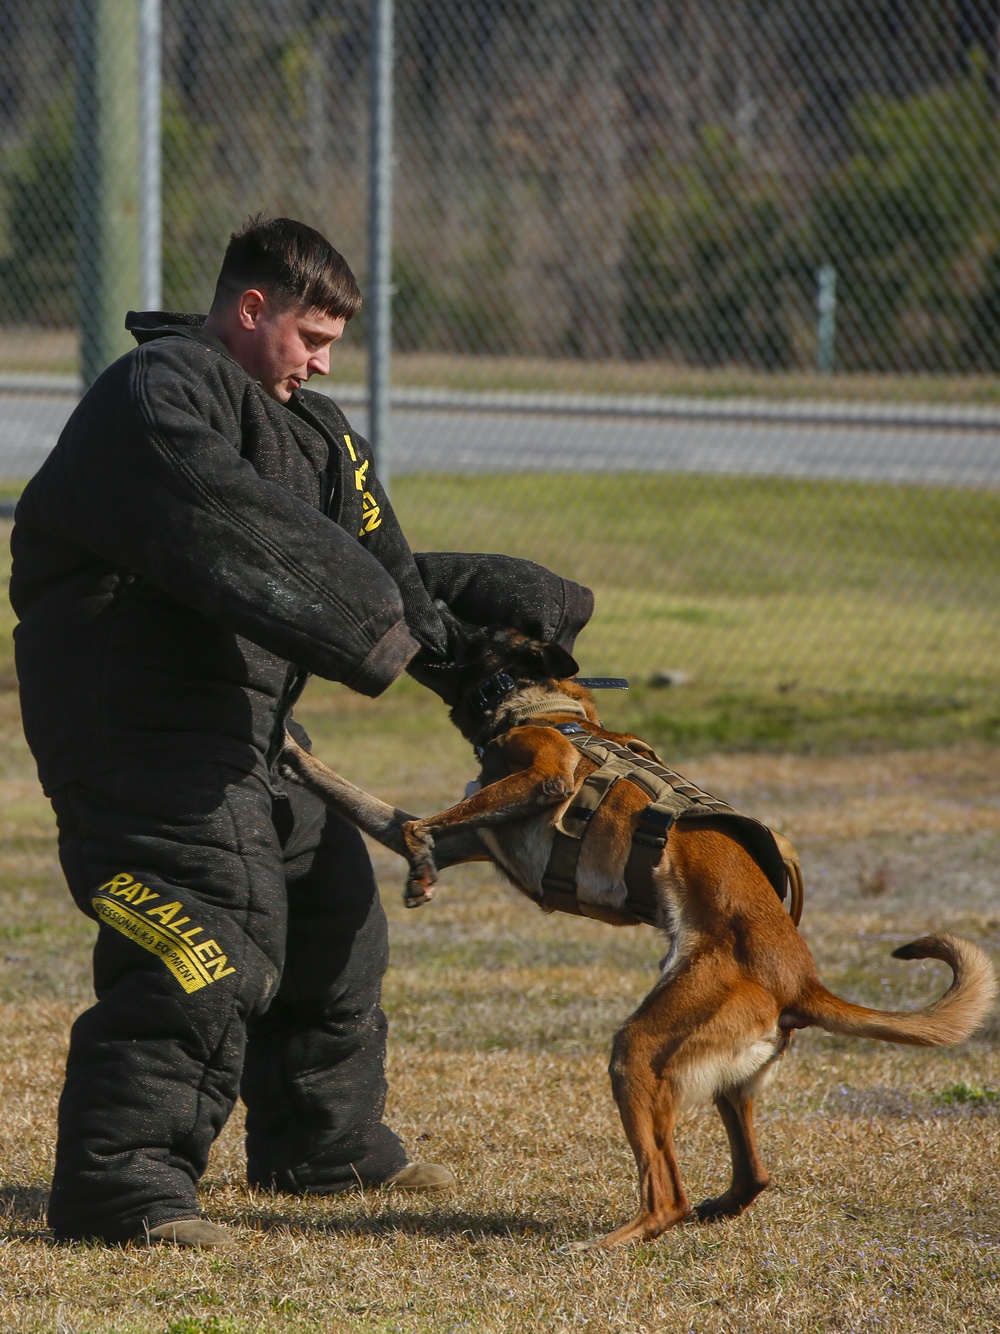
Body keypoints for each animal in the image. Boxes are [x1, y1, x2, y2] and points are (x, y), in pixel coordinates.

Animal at [280, 629, 997, 1243]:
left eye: (467, 628)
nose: (417, 622)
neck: (553, 708)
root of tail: (803, 979)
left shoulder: (547, 772)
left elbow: (418, 824)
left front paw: (419, 864)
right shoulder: (474, 829)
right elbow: (360, 797)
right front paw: (288, 748)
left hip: (642, 1049)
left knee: (666, 1194)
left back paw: (608, 1243)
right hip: (724, 1079)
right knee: (752, 1177)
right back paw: (715, 1208)